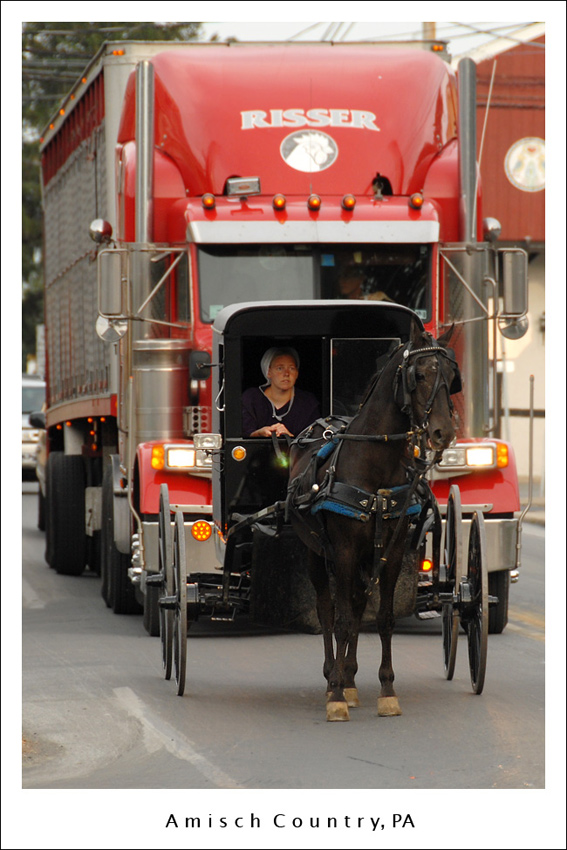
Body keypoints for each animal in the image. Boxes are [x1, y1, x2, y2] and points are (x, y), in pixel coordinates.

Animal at [288, 322, 462, 720]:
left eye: (451, 376)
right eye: (419, 375)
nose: (443, 432)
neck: (375, 465)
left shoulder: (392, 552)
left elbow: (381, 618)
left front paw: (385, 690)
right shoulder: (344, 550)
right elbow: (339, 619)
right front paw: (336, 696)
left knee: (355, 604)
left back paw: (349, 678)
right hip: (315, 553)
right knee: (328, 610)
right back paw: (332, 677)